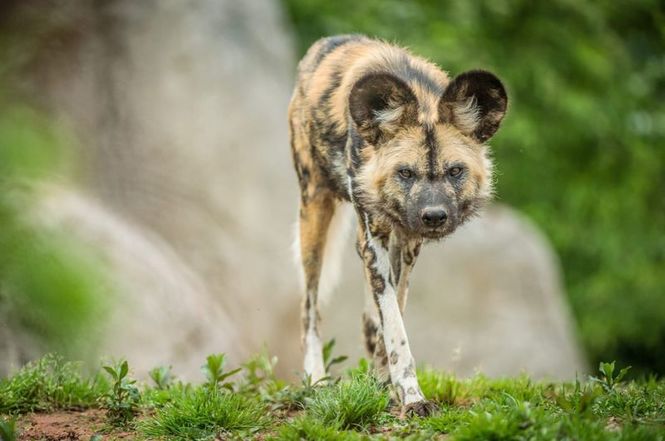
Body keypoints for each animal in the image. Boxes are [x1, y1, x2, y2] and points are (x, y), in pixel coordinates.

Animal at [288, 35, 506, 416]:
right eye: (405, 172)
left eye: (455, 171)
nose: (434, 216)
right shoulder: (373, 241)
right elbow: (394, 326)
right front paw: (412, 395)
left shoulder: (406, 244)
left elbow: (391, 319)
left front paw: (386, 386)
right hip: (313, 214)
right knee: (309, 312)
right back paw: (316, 380)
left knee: (367, 319)